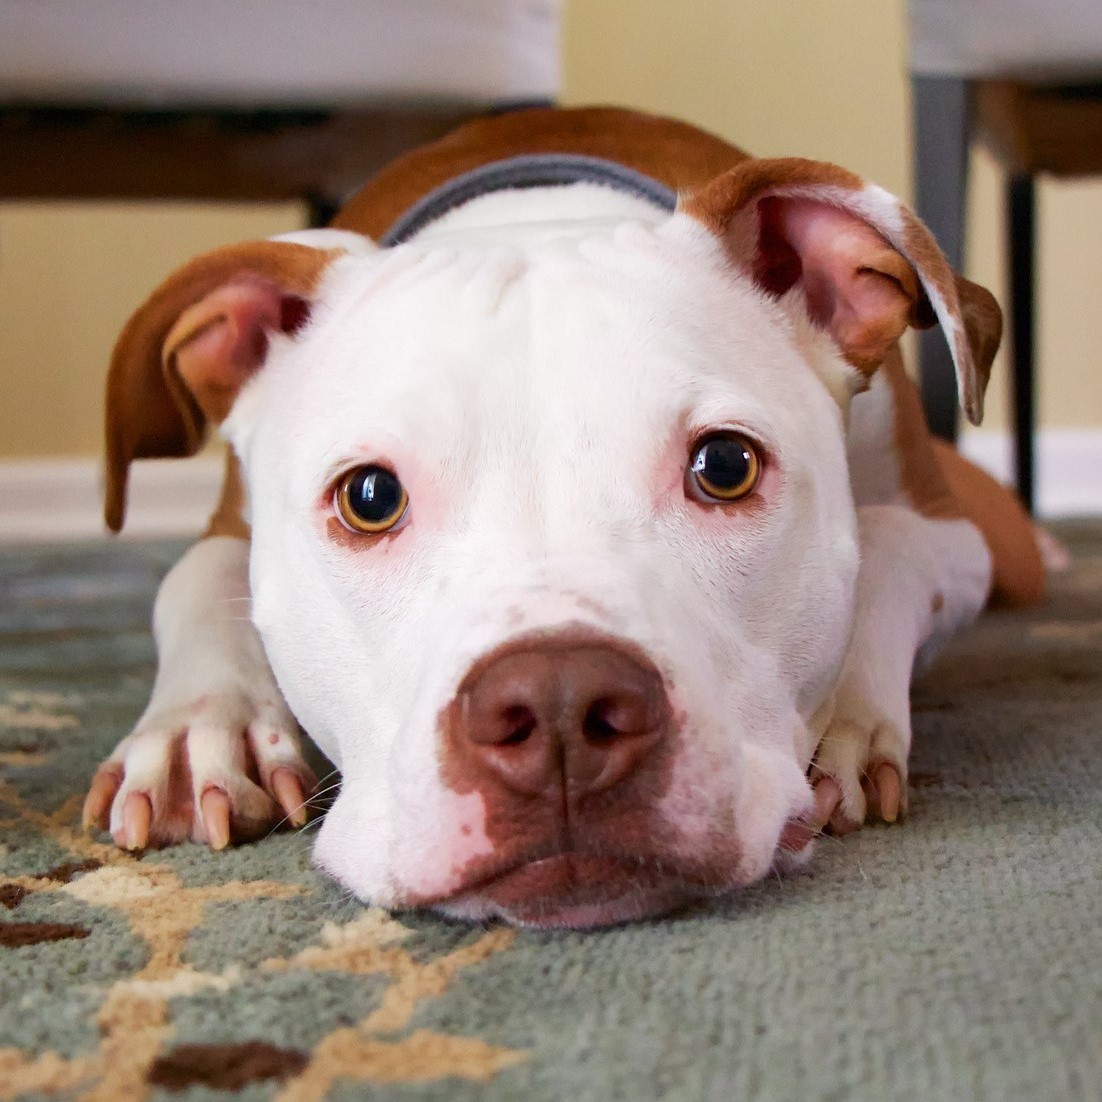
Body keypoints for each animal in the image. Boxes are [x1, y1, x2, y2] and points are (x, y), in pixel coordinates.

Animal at [83, 105, 1040, 930]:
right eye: (370, 497)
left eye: (725, 466)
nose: (558, 706)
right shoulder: (229, 527)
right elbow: (193, 576)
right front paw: (200, 731)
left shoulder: (954, 533)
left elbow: (889, 542)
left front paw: (846, 716)